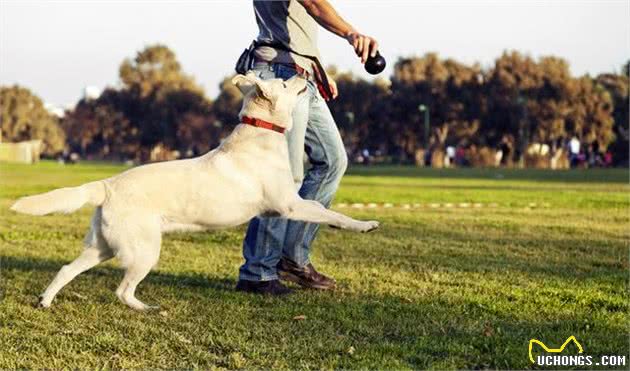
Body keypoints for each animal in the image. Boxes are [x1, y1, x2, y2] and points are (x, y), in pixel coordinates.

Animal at [11, 72, 380, 310]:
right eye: (286, 83)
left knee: (66, 269)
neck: (260, 133)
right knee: (122, 290)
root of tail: (107, 185)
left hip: (102, 247)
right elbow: (330, 212)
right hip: (144, 251)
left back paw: (45, 301)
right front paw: (364, 225)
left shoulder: (287, 206)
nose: (305, 75)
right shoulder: (290, 205)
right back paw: (146, 308)